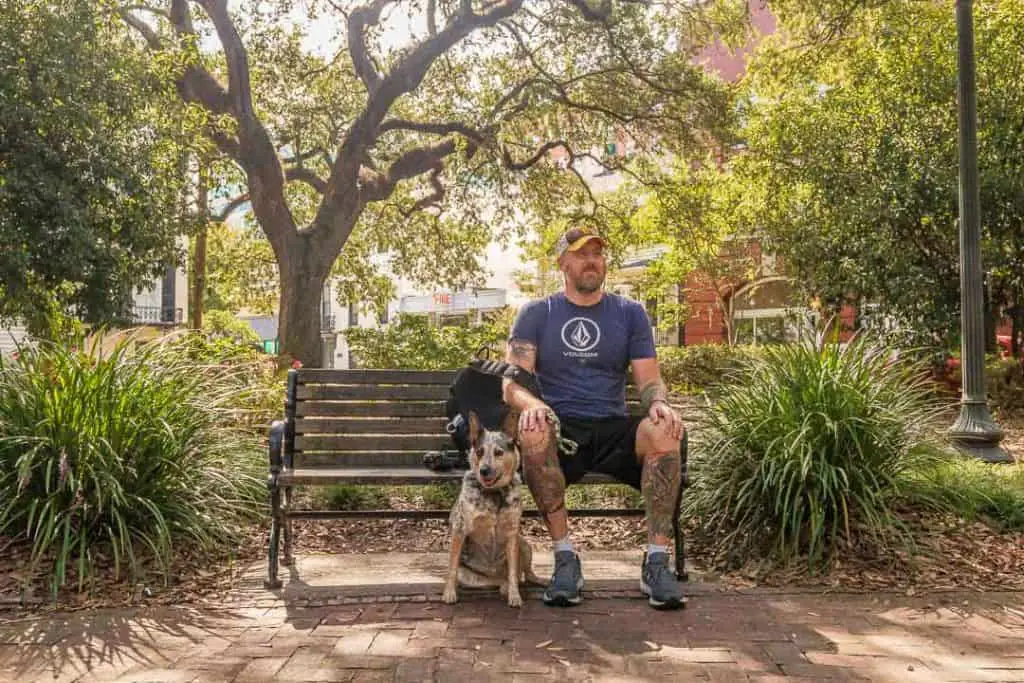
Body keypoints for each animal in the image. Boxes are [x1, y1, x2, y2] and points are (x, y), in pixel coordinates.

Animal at [444, 409, 548, 606]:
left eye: (499, 452)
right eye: (479, 451)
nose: (484, 470)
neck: (495, 493)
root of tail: (495, 577)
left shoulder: (512, 533)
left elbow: (513, 571)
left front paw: (515, 596)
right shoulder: (460, 529)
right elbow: (452, 567)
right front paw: (449, 593)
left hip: (524, 544)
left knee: (525, 575)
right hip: (473, 575)